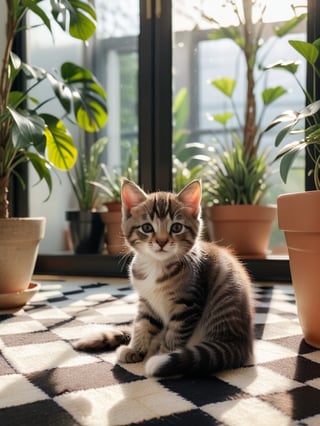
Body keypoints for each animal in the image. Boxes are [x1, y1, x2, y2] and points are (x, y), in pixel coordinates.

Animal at [75, 178, 252, 378]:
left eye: (176, 227)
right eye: (146, 227)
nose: (161, 241)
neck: (156, 266)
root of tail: (241, 343)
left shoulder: (188, 305)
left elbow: (175, 333)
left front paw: (163, 354)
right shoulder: (147, 301)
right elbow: (142, 323)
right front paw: (135, 349)